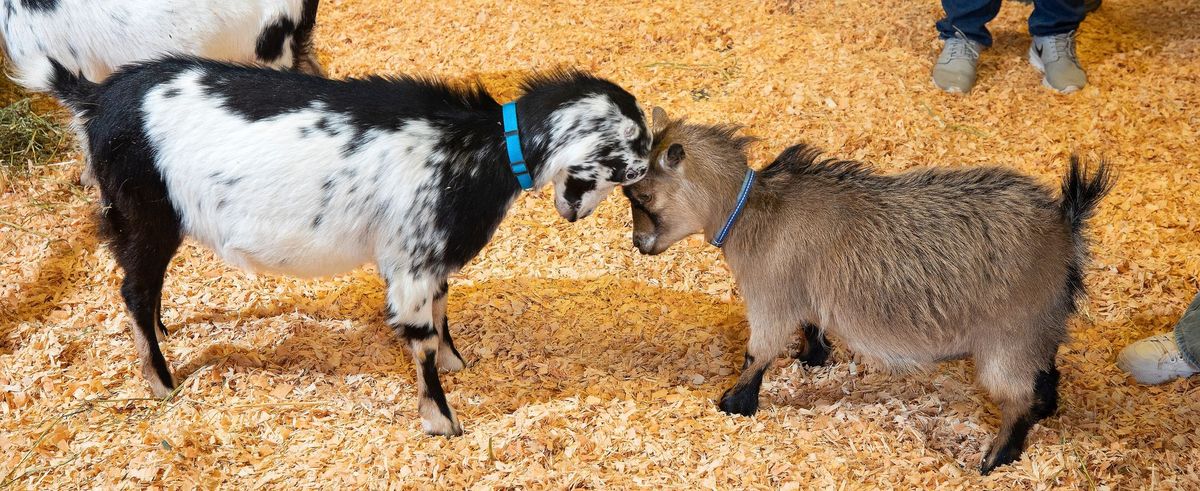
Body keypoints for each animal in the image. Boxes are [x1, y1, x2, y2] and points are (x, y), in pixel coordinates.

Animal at [46, 55, 652, 434]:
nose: (648, 170)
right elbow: (421, 338)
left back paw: (165, 336)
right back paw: (161, 381)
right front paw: (442, 421)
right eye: (632, 156)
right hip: (145, 212)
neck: (479, 147)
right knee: (133, 289)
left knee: (144, 288)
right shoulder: (411, 259)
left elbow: (443, 311)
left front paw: (456, 360)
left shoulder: (427, 257)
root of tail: (96, 98)